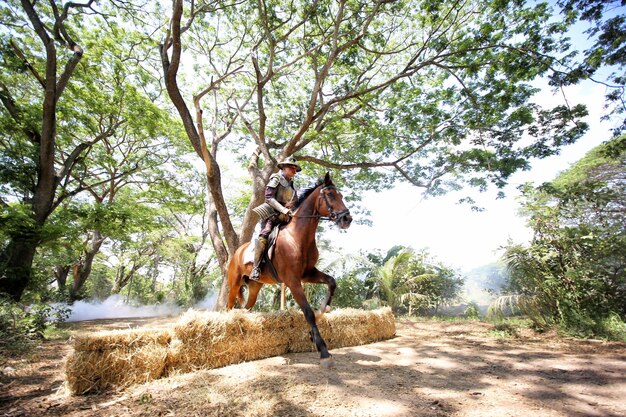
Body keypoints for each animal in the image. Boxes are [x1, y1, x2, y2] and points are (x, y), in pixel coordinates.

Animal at [225, 171, 352, 366]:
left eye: (342, 196)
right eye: (330, 195)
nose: (347, 219)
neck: (297, 237)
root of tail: (238, 252)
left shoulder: (308, 273)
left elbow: (331, 283)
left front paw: (318, 321)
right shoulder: (293, 281)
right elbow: (308, 312)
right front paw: (323, 350)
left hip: (255, 287)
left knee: (247, 307)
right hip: (234, 284)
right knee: (229, 306)